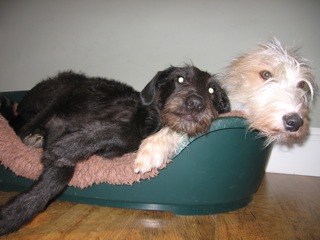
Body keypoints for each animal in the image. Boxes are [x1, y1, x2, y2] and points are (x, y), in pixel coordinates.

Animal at [0, 65, 230, 234]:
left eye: (212, 90)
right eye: (180, 79)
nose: (196, 103)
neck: (149, 122)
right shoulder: (59, 123)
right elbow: (61, 171)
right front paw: (13, 215)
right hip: (65, 90)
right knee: (19, 125)